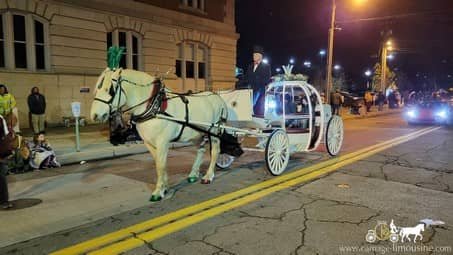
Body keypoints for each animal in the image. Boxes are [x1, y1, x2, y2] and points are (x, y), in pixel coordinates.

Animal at [90, 67, 228, 201]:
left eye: (111, 90)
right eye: (97, 88)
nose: (95, 115)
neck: (154, 106)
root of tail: (217, 96)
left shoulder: (162, 142)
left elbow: (160, 166)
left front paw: (158, 192)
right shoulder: (149, 142)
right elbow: (158, 163)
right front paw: (164, 187)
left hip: (214, 131)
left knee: (215, 151)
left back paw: (208, 176)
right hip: (196, 132)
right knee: (200, 150)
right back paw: (193, 174)